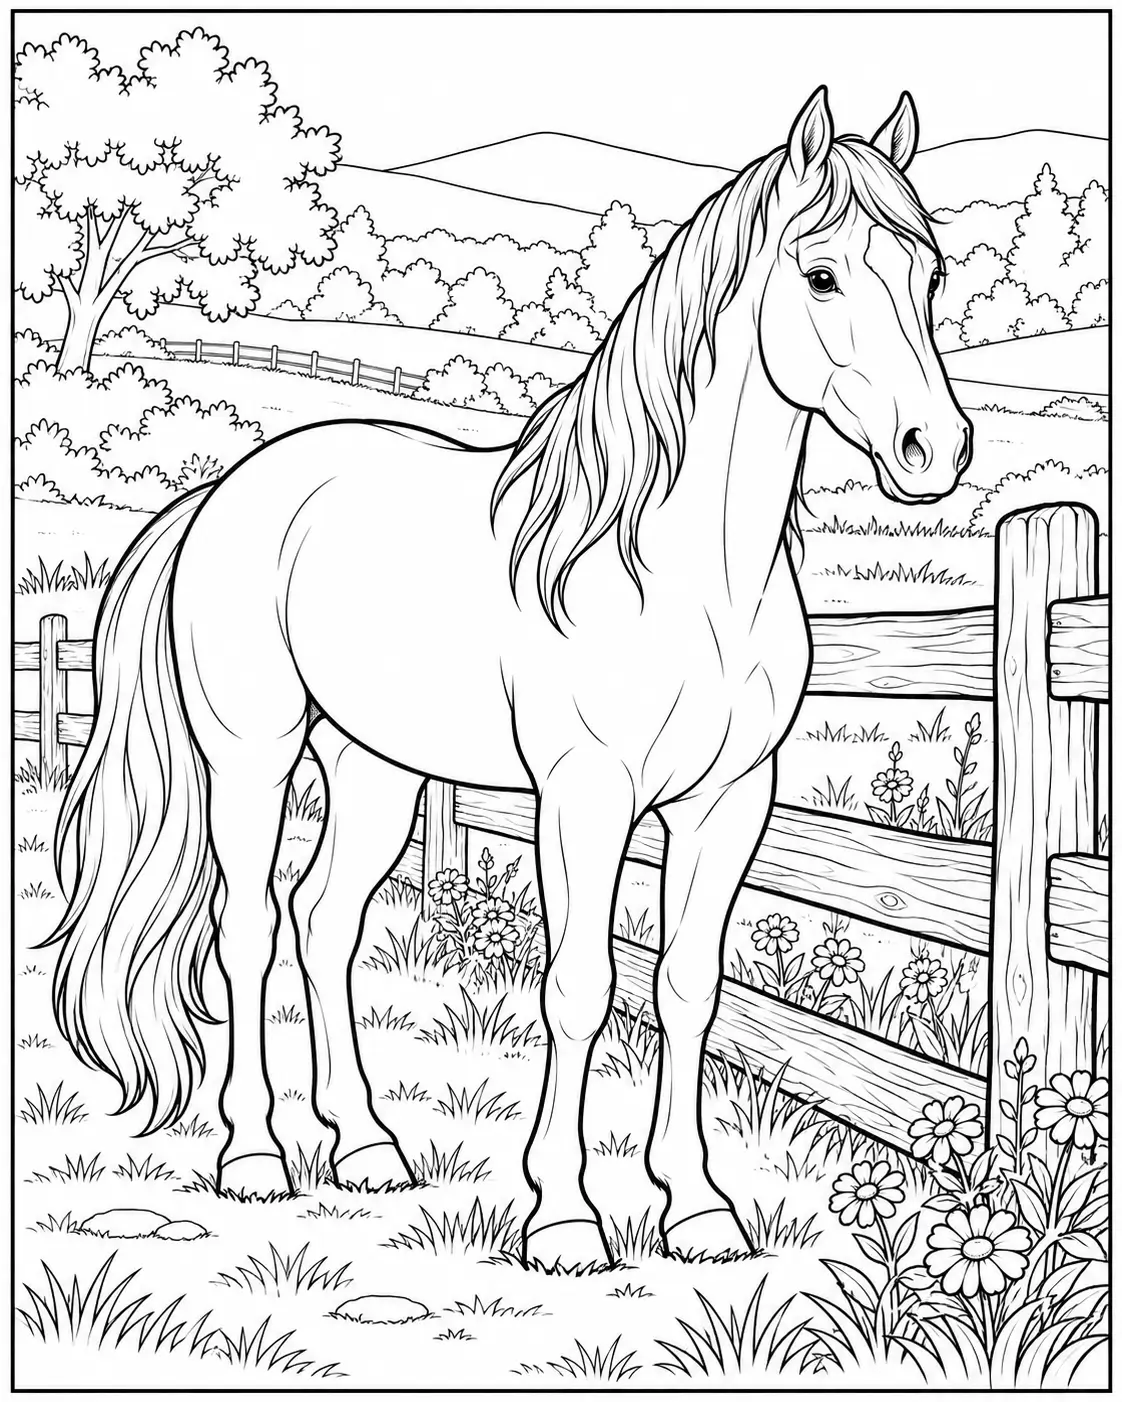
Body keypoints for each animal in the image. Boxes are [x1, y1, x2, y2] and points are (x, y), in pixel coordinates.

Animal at [48, 87, 971, 1270]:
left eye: (930, 274)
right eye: (820, 275)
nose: (934, 450)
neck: (678, 572)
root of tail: (225, 492)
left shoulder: (728, 801)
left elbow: (688, 987)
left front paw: (699, 1210)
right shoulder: (584, 797)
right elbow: (579, 987)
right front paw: (567, 1219)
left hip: (376, 770)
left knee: (324, 922)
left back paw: (367, 1148)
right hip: (251, 758)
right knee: (248, 930)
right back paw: (254, 1155)